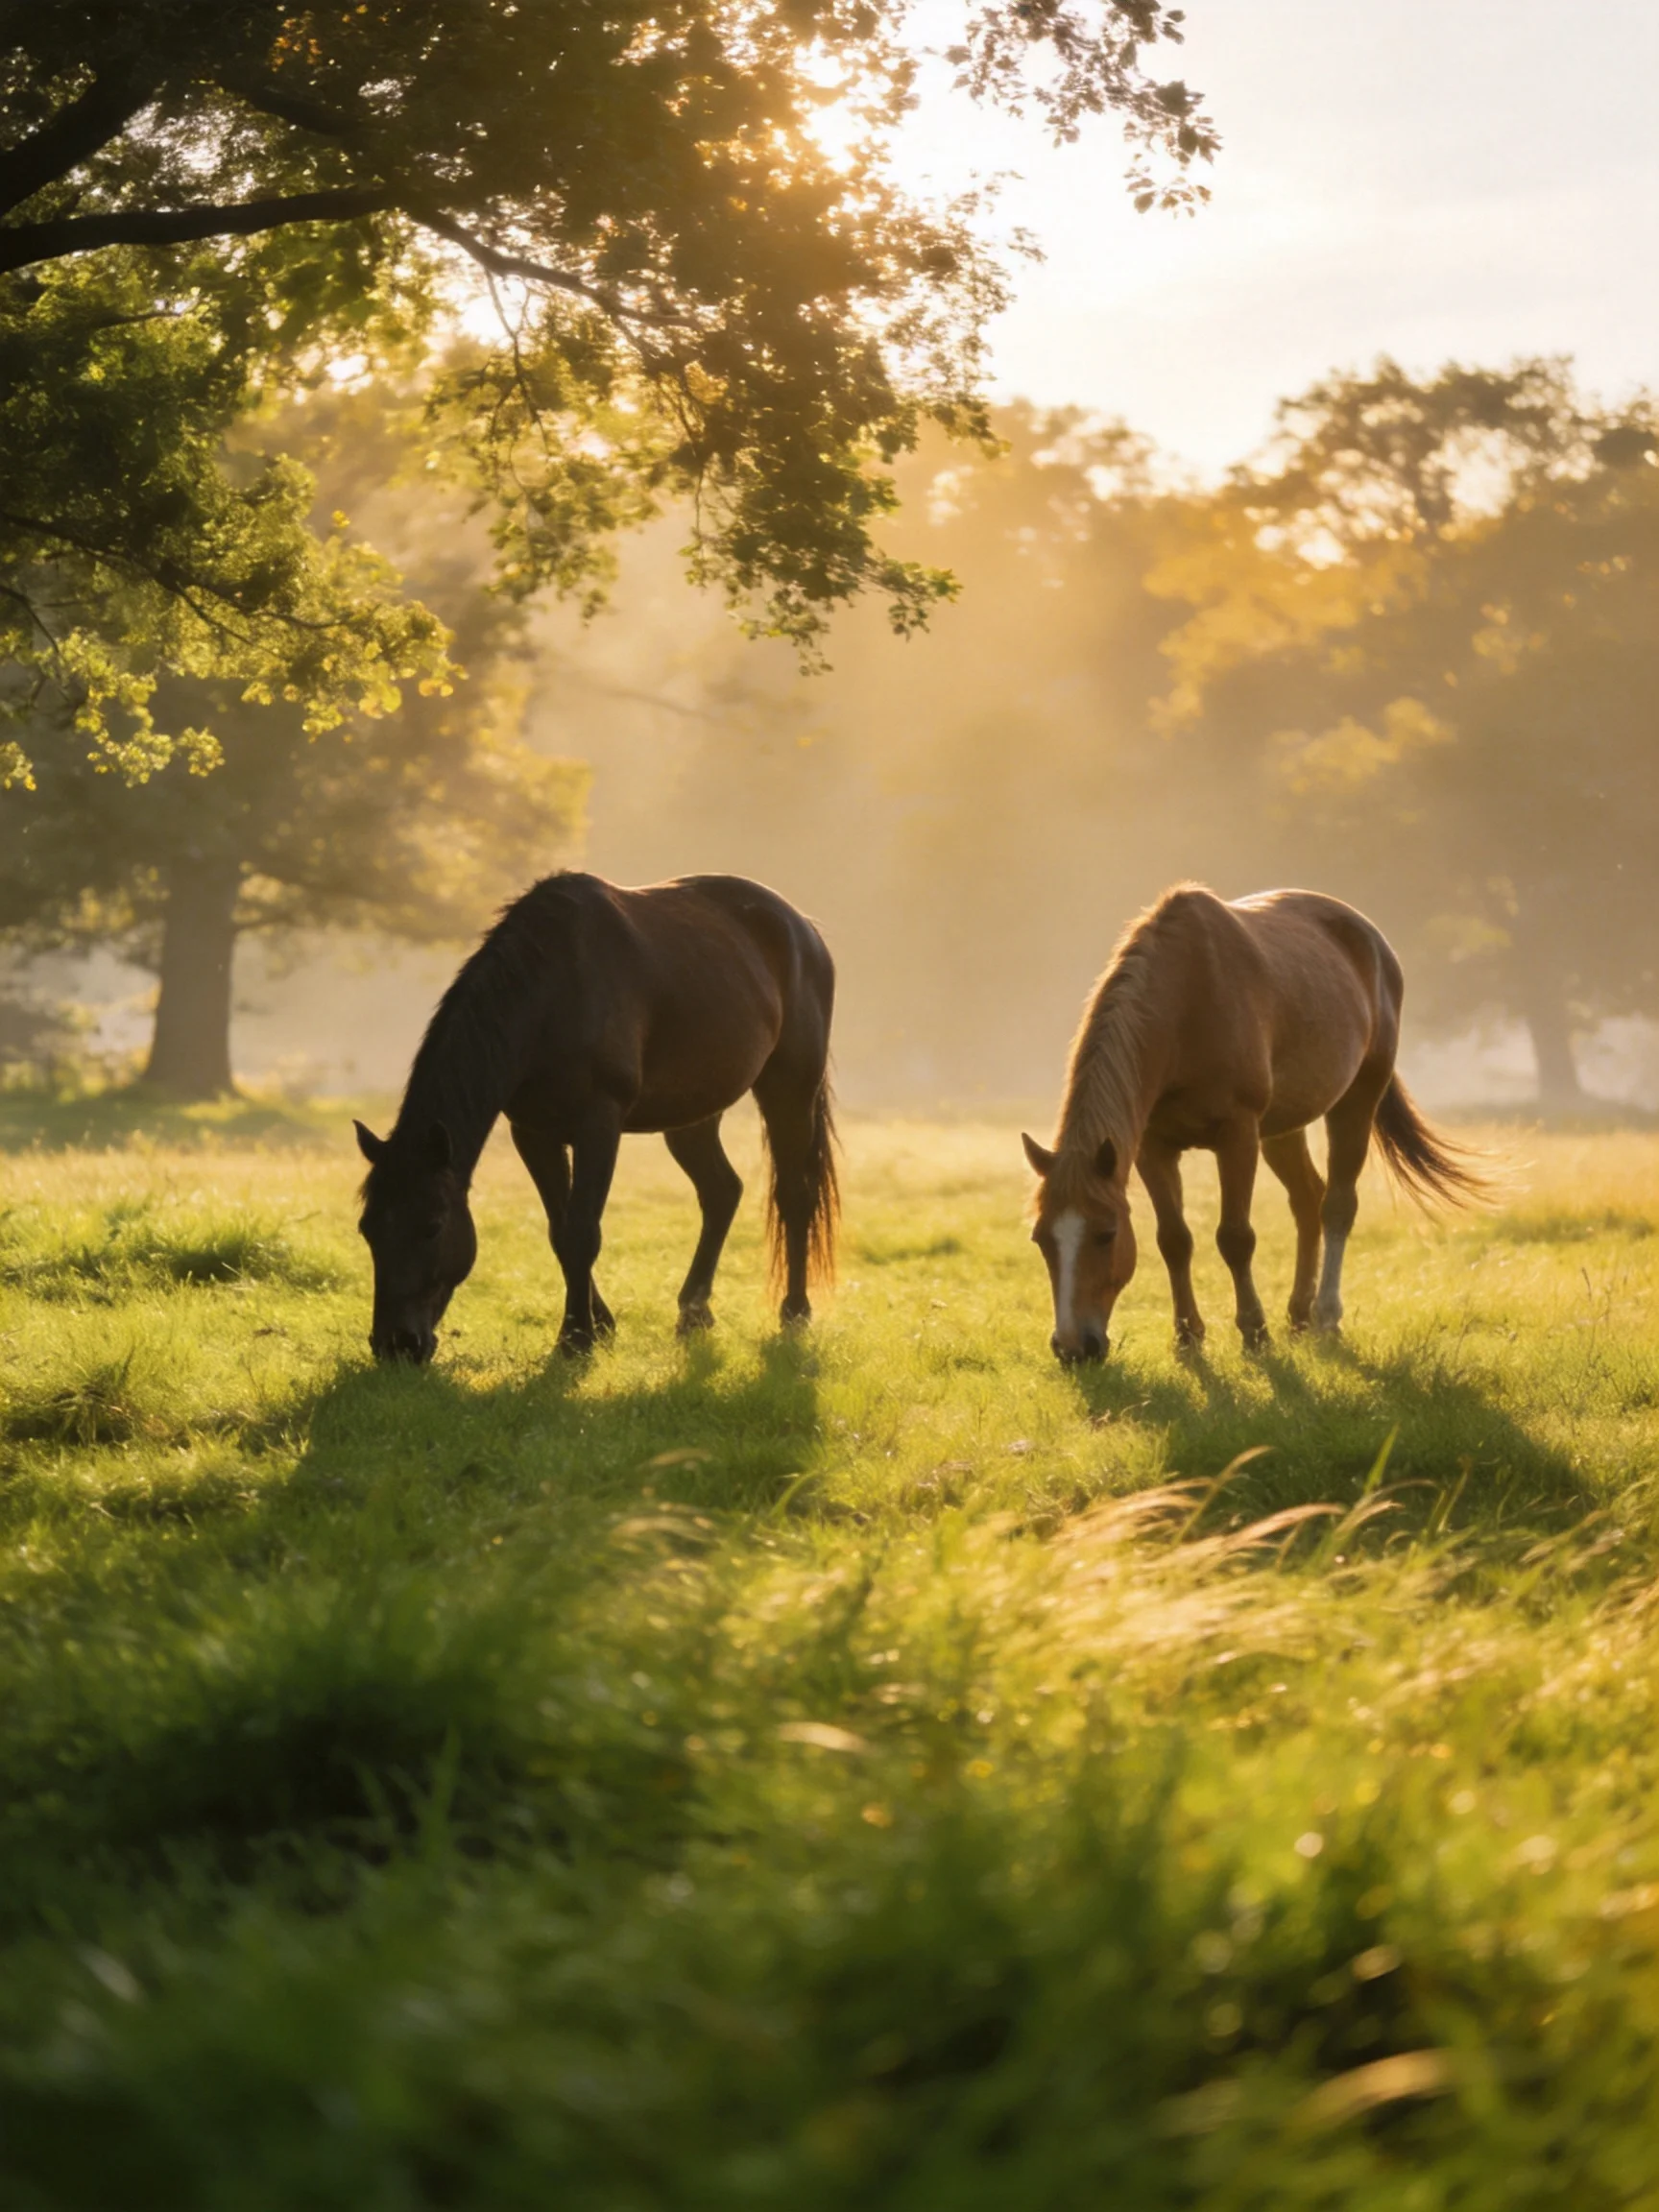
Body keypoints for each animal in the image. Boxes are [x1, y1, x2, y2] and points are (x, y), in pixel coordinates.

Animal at [354, 871, 838, 1363]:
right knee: (722, 1192)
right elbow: (560, 1230)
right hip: (694, 1114)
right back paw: (694, 1311)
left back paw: (795, 1312)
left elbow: (582, 1231)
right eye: (367, 1230)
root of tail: (803, 928)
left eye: (432, 1227)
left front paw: (576, 1336)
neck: (552, 995)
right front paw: (599, 1323)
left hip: (790, 1088)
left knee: (794, 1196)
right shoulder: (533, 1133)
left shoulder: (599, 1125)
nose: (396, 1345)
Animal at [1022, 884, 1485, 1363]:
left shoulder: (1237, 1135)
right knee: (1308, 1200)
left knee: (1337, 1205)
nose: (1074, 1348)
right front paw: (1188, 1336)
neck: (1185, 1005)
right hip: (1283, 1129)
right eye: (1040, 1238)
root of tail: (1373, 940)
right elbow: (1174, 1240)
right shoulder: (1153, 1148)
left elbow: (1235, 1237)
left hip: (1356, 1101)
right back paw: (1299, 1314)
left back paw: (1326, 1315)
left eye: (1105, 1234)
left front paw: (1254, 1332)